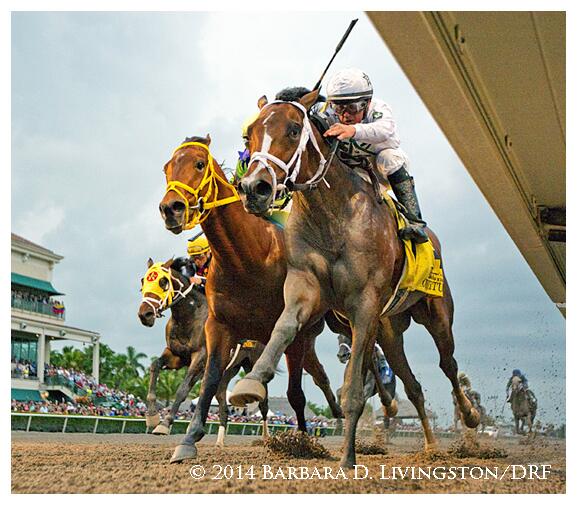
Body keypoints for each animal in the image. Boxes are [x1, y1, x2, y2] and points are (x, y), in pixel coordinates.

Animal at [137, 258, 270, 442]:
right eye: (143, 281)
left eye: (163, 282)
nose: (145, 314)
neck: (190, 317)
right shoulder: (176, 355)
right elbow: (155, 366)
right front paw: (152, 416)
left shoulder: (200, 358)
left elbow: (182, 390)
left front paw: (164, 424)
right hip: (229, 370)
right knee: (223, 403)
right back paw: (219, 442)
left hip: (253, 364)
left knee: (264, 404)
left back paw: (266, 438)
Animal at [158, 134, 342, 460]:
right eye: (166, 168)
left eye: (199, 163)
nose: (171, 208)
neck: (246, 257)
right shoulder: (219, 328)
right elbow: (209, 383)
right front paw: (188, 438)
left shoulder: (293, 329)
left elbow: (295, 394)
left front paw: (302, 443)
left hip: (315, 334)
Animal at [232, 91, 480, 468]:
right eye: (249, 136)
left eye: (293, 129)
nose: (253, 188)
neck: (332, 214)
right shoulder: (306, 286)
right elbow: (284, 327)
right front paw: (252, 381)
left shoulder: (363, 304)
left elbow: (352, 388)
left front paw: (348, 458)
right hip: (390, 331)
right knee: (413, 386)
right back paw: (431, 445)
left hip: (436, 312)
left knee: (448, 363)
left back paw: (469, 417)